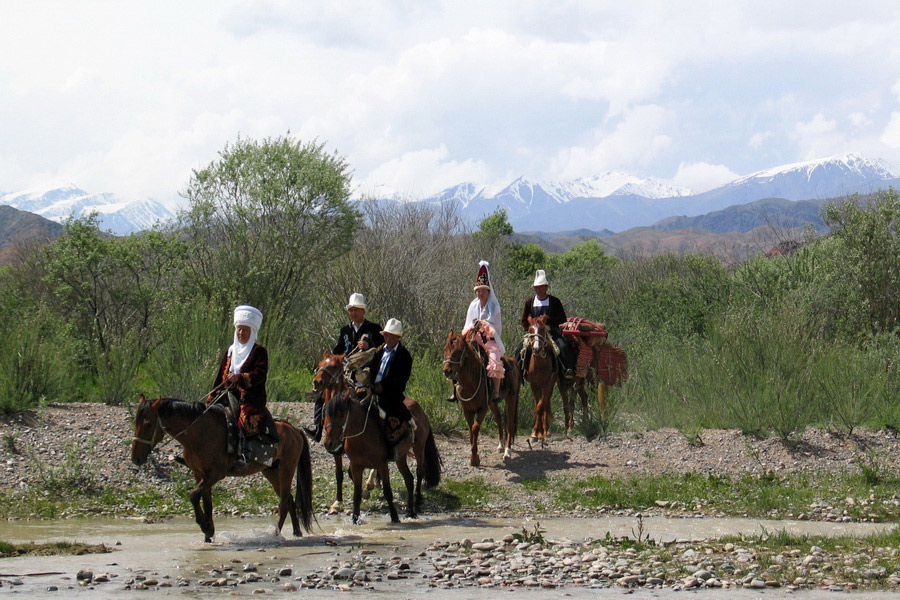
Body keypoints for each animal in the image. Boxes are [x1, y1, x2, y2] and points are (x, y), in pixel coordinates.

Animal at [130, 396, 312, 540]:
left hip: (287, 469)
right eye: (135, 423)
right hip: (271, 471)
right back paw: (296, 532)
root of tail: (294, 429)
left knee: (283, 503)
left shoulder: (215, 474)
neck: (200, 434)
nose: (135, 459)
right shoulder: (199, 475)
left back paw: (276, 535)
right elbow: (206, 503)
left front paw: (206, 528)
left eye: (148, 424)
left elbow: (193, 496)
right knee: (288, 499)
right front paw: (208, 535)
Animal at [322, 392, 442, 524]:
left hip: (419, 447)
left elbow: (388, 491)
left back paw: (418, 501)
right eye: (327, 414)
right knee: (409, 479)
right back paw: (410, 511)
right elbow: (357, 494)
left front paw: (394, 517)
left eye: (341, 415)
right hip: (400, 457)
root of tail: (420, 408)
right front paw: (355, 519)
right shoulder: (356, 466)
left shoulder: (382, 465)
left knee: (419, 472)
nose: (328, 443)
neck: (363, 437)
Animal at [442, 330, 520, 466]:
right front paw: (473, 455)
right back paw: (500, 446)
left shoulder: (483, 409)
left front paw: (474, 458)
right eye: (445, 348)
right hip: (493, 403)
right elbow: (470, 430)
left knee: (510, 424)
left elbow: (475, 428)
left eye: (459, 350)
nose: (447, 371)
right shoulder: (467, 410)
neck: (470, 382)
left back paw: (507, 452)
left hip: (511, 399)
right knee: (499, 418)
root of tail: (513, 361)